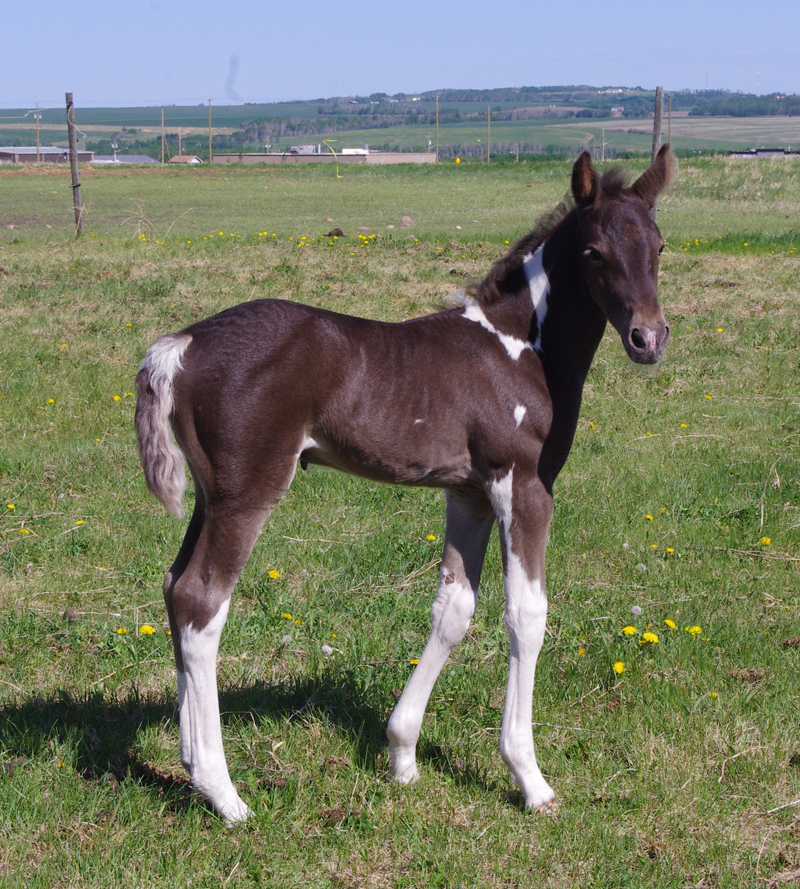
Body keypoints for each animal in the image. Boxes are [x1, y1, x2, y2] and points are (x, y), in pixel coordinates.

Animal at [136, 144, 676, 820]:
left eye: (659, 246)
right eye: (595, 252)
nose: (648, 338)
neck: (520, 347)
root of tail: (179, 344)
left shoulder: (469, 493)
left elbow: (454, 609)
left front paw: (402, 756)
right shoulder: (522, 484)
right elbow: (526, 615)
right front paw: (530, 779)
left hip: (211, 497)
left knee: (173, 588)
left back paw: (191, 766)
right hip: (247, 494)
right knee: (201, 602)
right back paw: (222, 791)